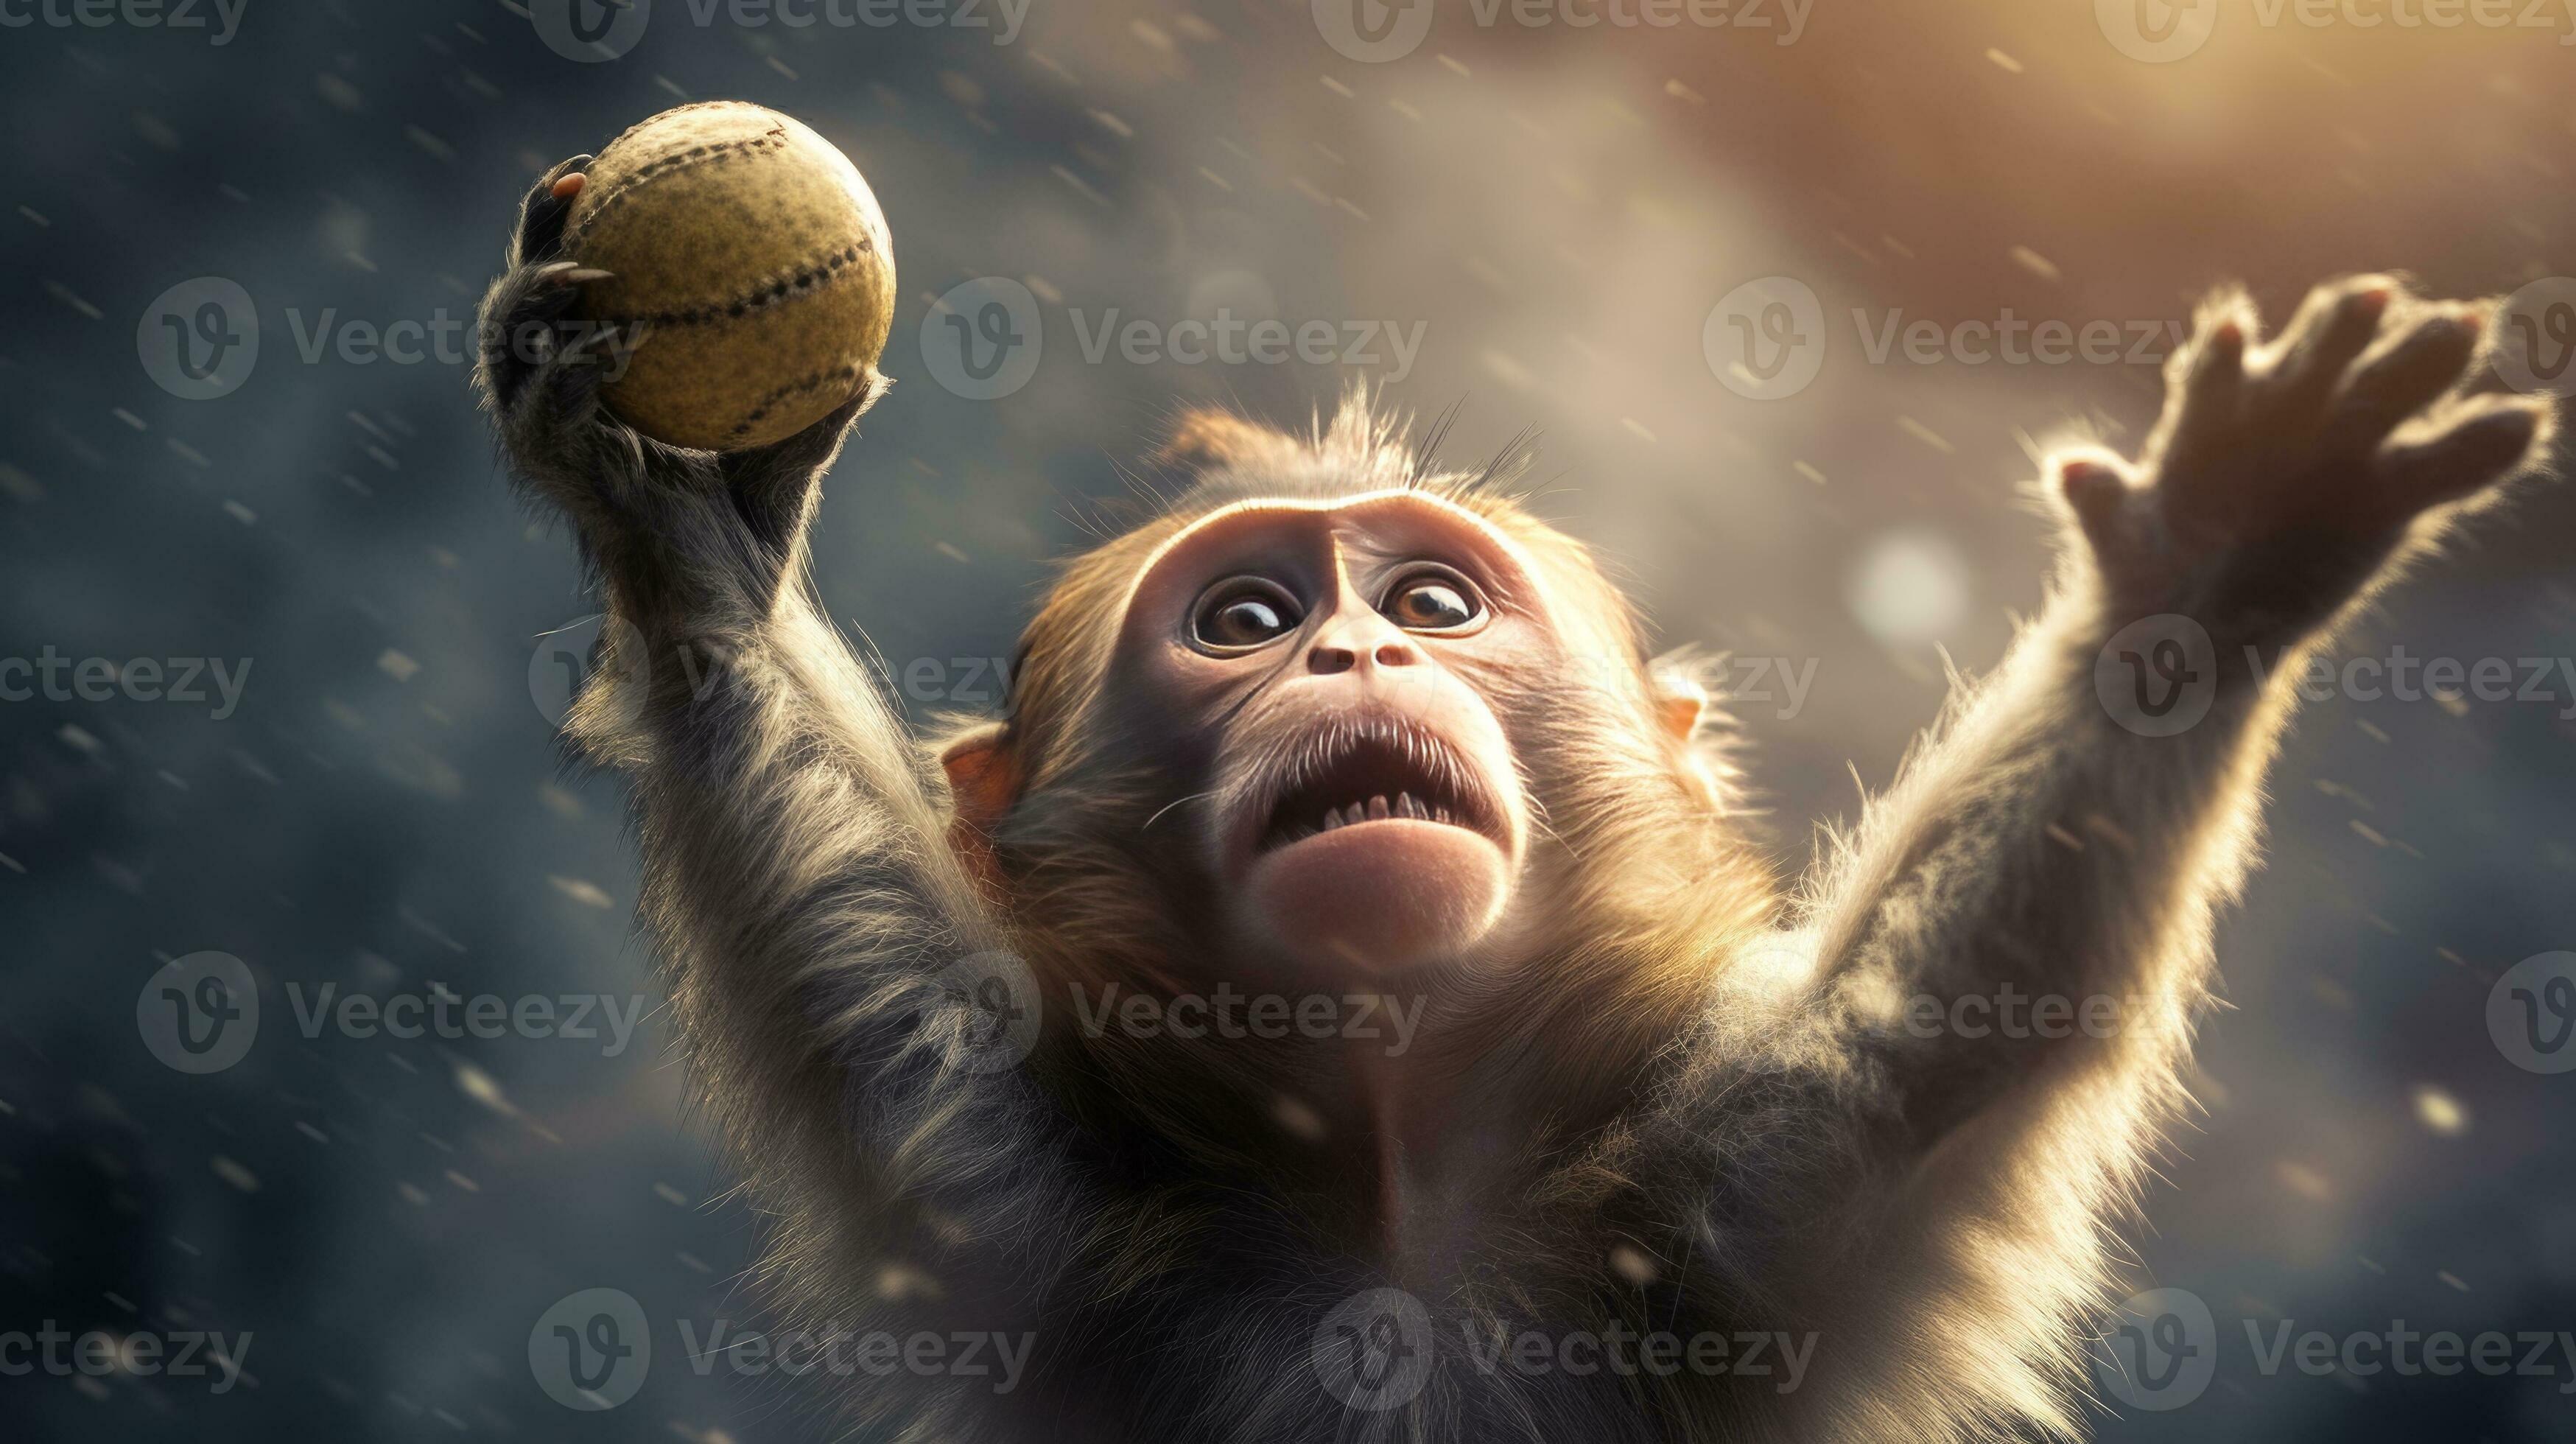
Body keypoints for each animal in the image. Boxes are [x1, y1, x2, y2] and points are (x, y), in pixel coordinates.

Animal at [478, 154, 2560, 1443]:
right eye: (1246, 620)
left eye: (1429, 605)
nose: (1347, 654)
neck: (1402, 1181)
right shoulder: (1019, 1186)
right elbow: (857, 964)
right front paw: (692, 551)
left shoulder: (1743, 1188)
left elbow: (1951, 1011)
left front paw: (2205, 579)